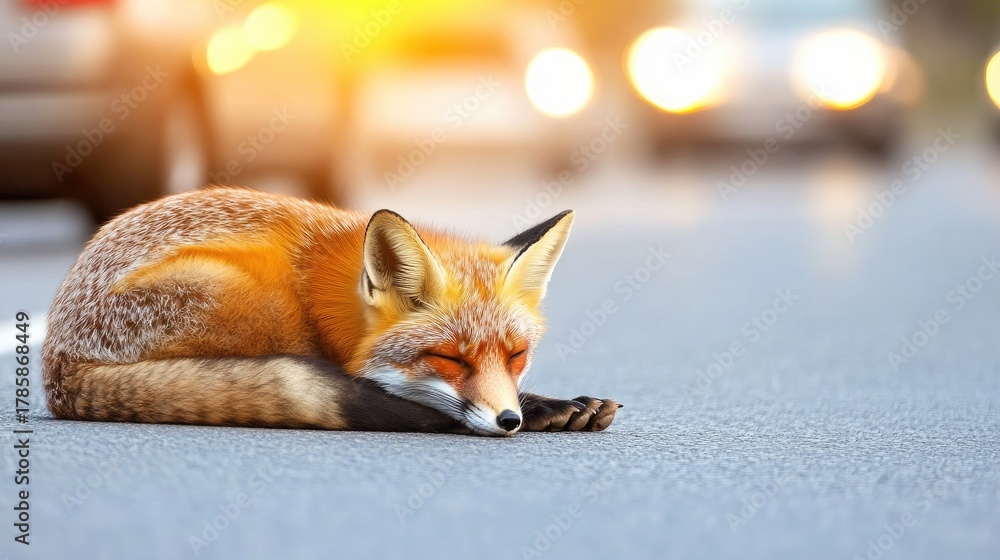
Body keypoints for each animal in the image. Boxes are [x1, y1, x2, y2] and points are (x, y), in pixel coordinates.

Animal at [41, 187, 620, 436]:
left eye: (517, 355)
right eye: (451, 360)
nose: (509, 421)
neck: (335, 301)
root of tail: (57, 366)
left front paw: (552, 403)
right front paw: (544, 407)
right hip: (259, 298)